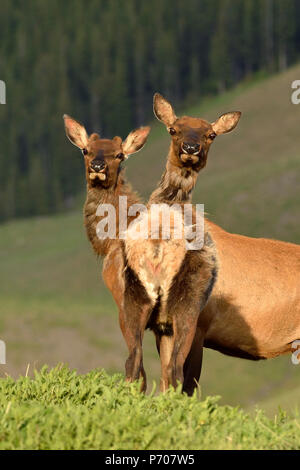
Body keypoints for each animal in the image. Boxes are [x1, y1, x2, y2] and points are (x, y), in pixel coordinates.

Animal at [152, 93, 300, 394]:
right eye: (173, 129)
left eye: (211, 134)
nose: (191, 147)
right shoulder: (163, 326)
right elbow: (165, 382)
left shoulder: (199, 323)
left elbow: (186, 385)